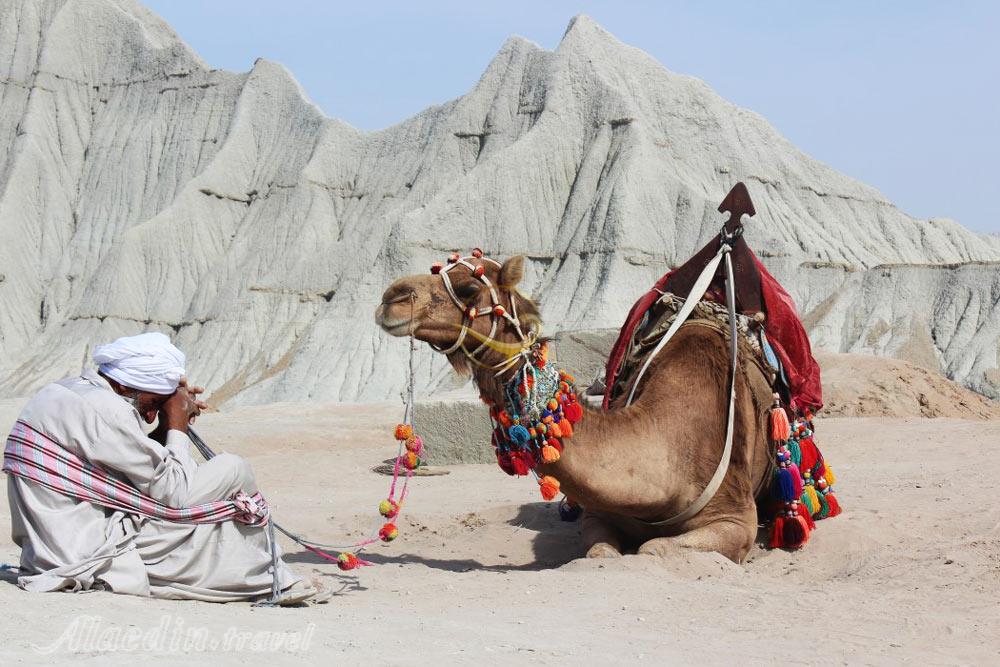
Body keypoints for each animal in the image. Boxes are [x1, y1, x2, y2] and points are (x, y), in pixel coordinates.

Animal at [376, 253, 772, 568]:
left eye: (468, 288)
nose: (391, 297)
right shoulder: (600, 513)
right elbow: (600, 553)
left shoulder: (735, 521)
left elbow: (652, 549)